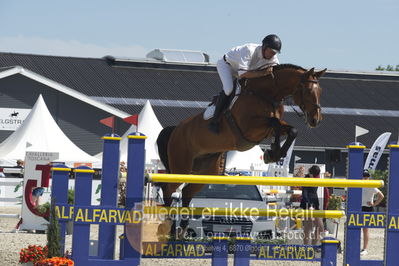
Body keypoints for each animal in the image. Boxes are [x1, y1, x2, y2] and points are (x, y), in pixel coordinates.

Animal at [155, 64, 326, 237]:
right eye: (308, 90)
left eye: (320, 91)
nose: (315, 120)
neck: (266, 95)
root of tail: (175, 130)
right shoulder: (249, 127)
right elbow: (274, 122)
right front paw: (273, 152)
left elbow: (290, 130)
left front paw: (273, 153)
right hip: (181, 165)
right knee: (168, 189)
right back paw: (168, 226)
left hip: (205, 171)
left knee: (187, 192)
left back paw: (181, 229)